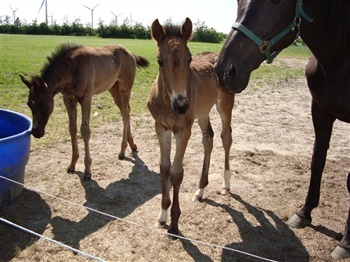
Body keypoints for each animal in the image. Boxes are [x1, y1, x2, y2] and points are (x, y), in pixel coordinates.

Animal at [20, 44, 149, 181]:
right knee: (126, 111)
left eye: (44, 104)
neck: (72, 69)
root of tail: (131, 54)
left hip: (125, 87)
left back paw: (122, 151)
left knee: (125, 114)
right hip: (113, 88)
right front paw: (72, 165)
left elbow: (85, 130)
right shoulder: (68, 99)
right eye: (29, 104)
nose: (36, 132)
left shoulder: (86, 98)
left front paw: (87, 171)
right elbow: (72, 128)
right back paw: (132, 145)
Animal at [148, 17, 235, 236]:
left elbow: (176, 172)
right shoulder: (161, 127)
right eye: (160, 61)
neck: (167, 102)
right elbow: (164, 168)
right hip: (202, 112)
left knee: (226, 136)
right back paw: (201, 190)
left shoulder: (183, 130)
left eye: (188, 59)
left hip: (224, 105)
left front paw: (174, 223)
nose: (181, 105)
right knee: (208, 138)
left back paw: (226, 184)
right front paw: (162, 215)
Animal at [215, 0, 350, 258]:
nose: (224, 71)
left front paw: (346, 242)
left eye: (275, 1)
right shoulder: (320, 110)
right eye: (238, 2)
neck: (339, 58)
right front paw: (304, 213)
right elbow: (317, 161)